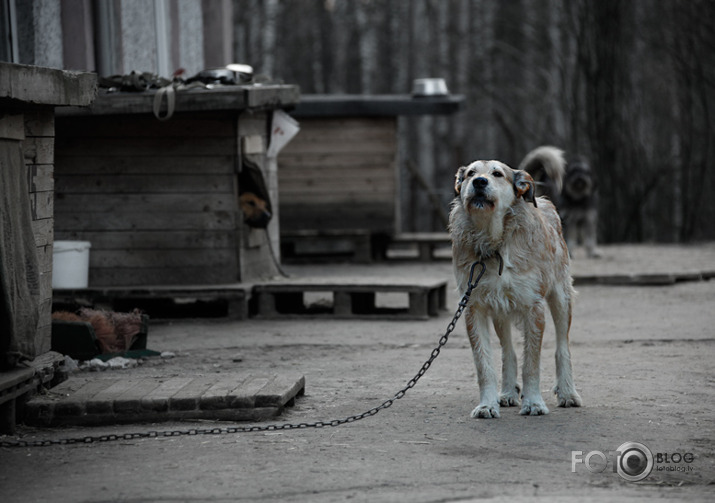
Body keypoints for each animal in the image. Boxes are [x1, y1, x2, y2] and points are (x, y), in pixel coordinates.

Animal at [454, 147, 580, 422]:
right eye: (470, 173)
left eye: (497, 174)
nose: (479, 182)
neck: (494, 244)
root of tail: (542, 200)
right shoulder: (475, 308)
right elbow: (484, 365)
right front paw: (487, 405)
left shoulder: (534, 307)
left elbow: (531, 364)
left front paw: (533, 403)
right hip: (500, 312)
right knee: (508, 351)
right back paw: (508, 392)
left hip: (562, 299)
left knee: (563, 347)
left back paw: (567, 392)